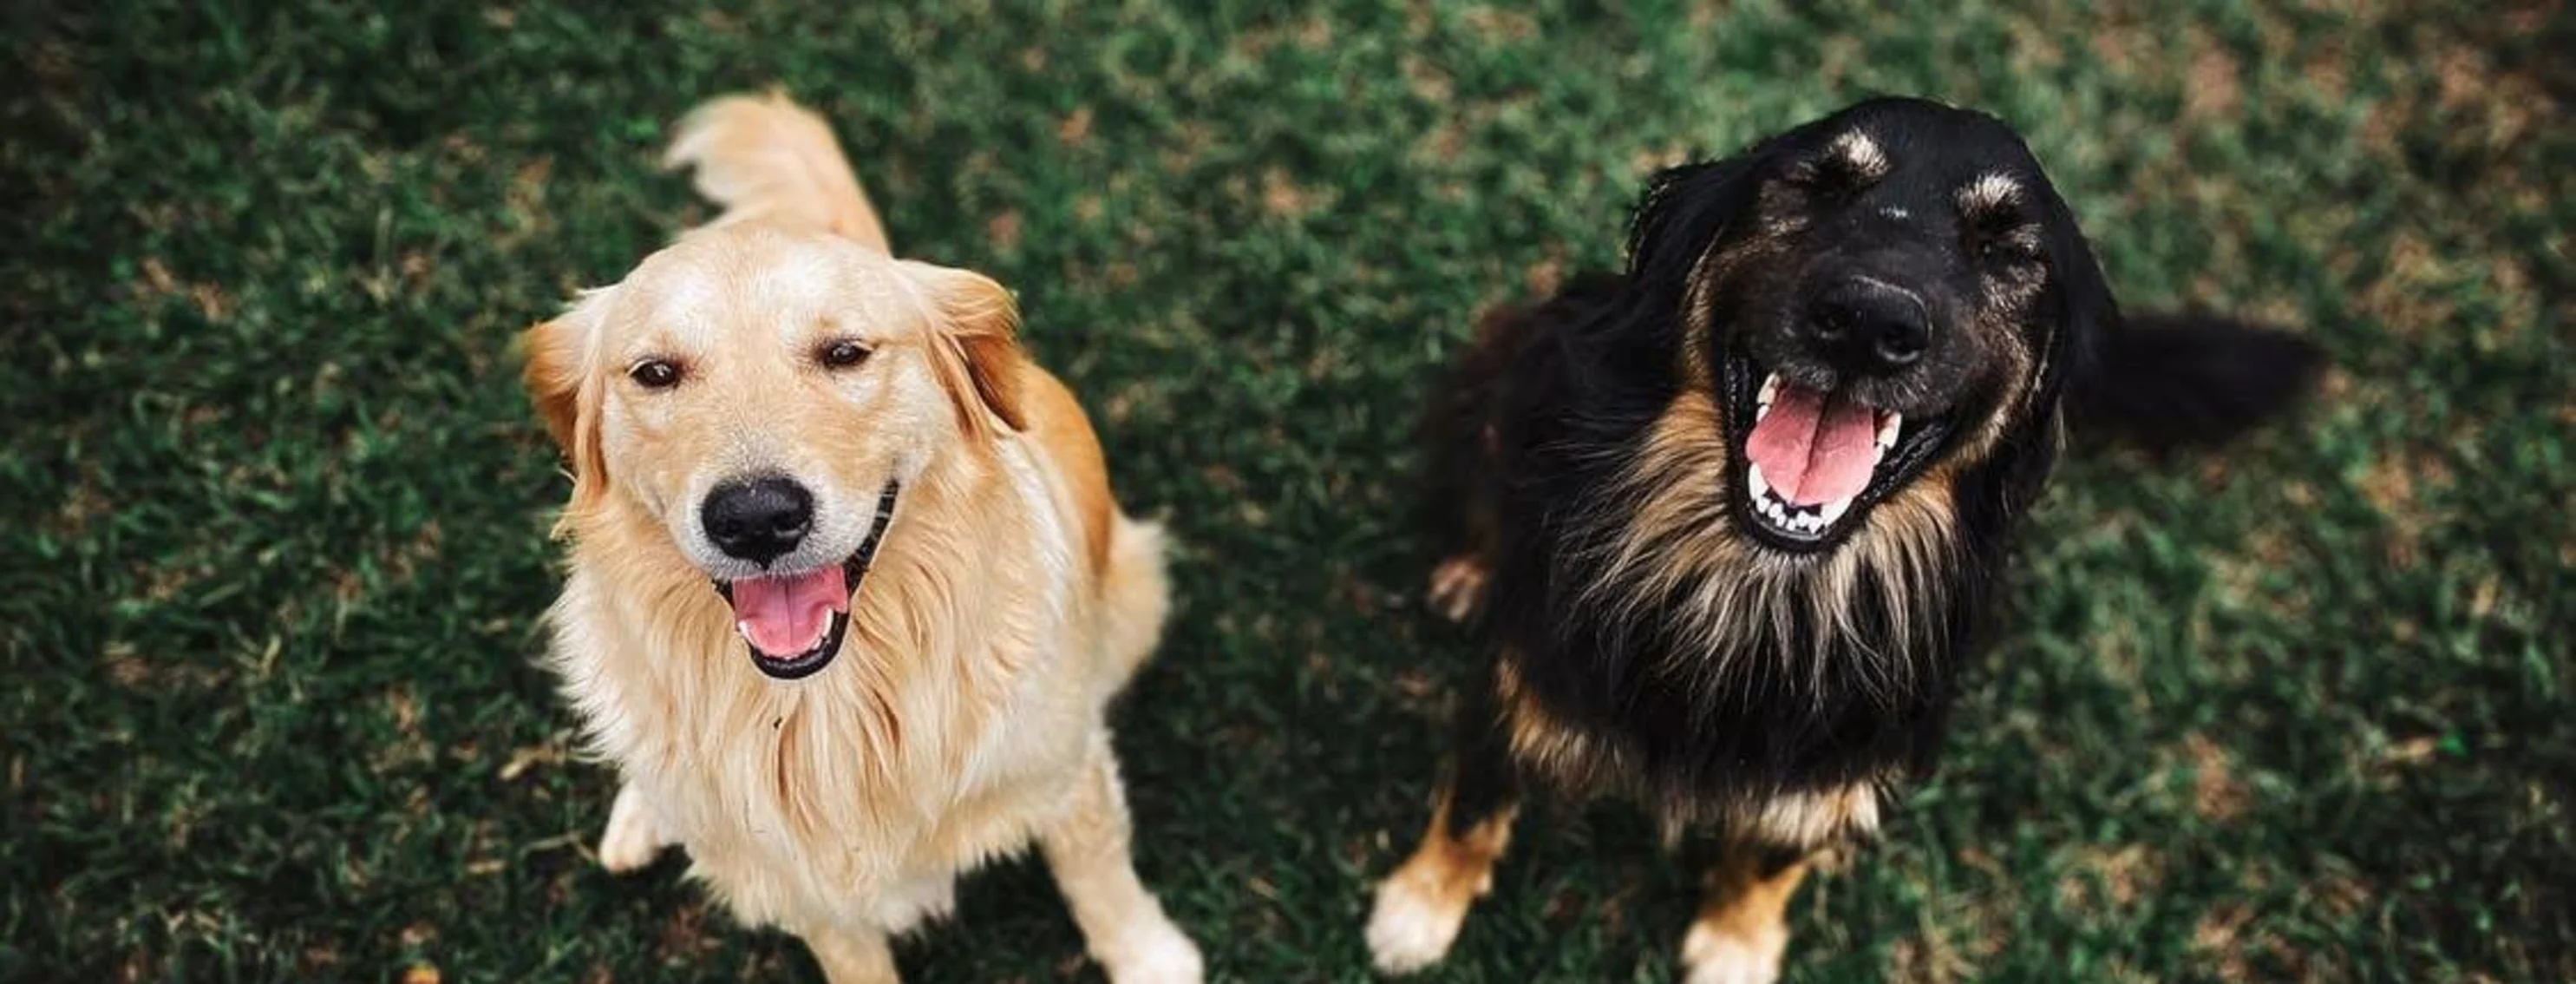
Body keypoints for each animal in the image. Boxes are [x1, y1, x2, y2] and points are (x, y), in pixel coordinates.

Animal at [1370, 95, 2318, 979]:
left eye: (2006, 249)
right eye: (1818, 185)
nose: (1868, 321)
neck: (1758, 583)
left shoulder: (1841, 758)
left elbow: (1773, 855)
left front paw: (1737, 947)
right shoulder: (1520, 676)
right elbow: (1474, 805)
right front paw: (1418, 911)